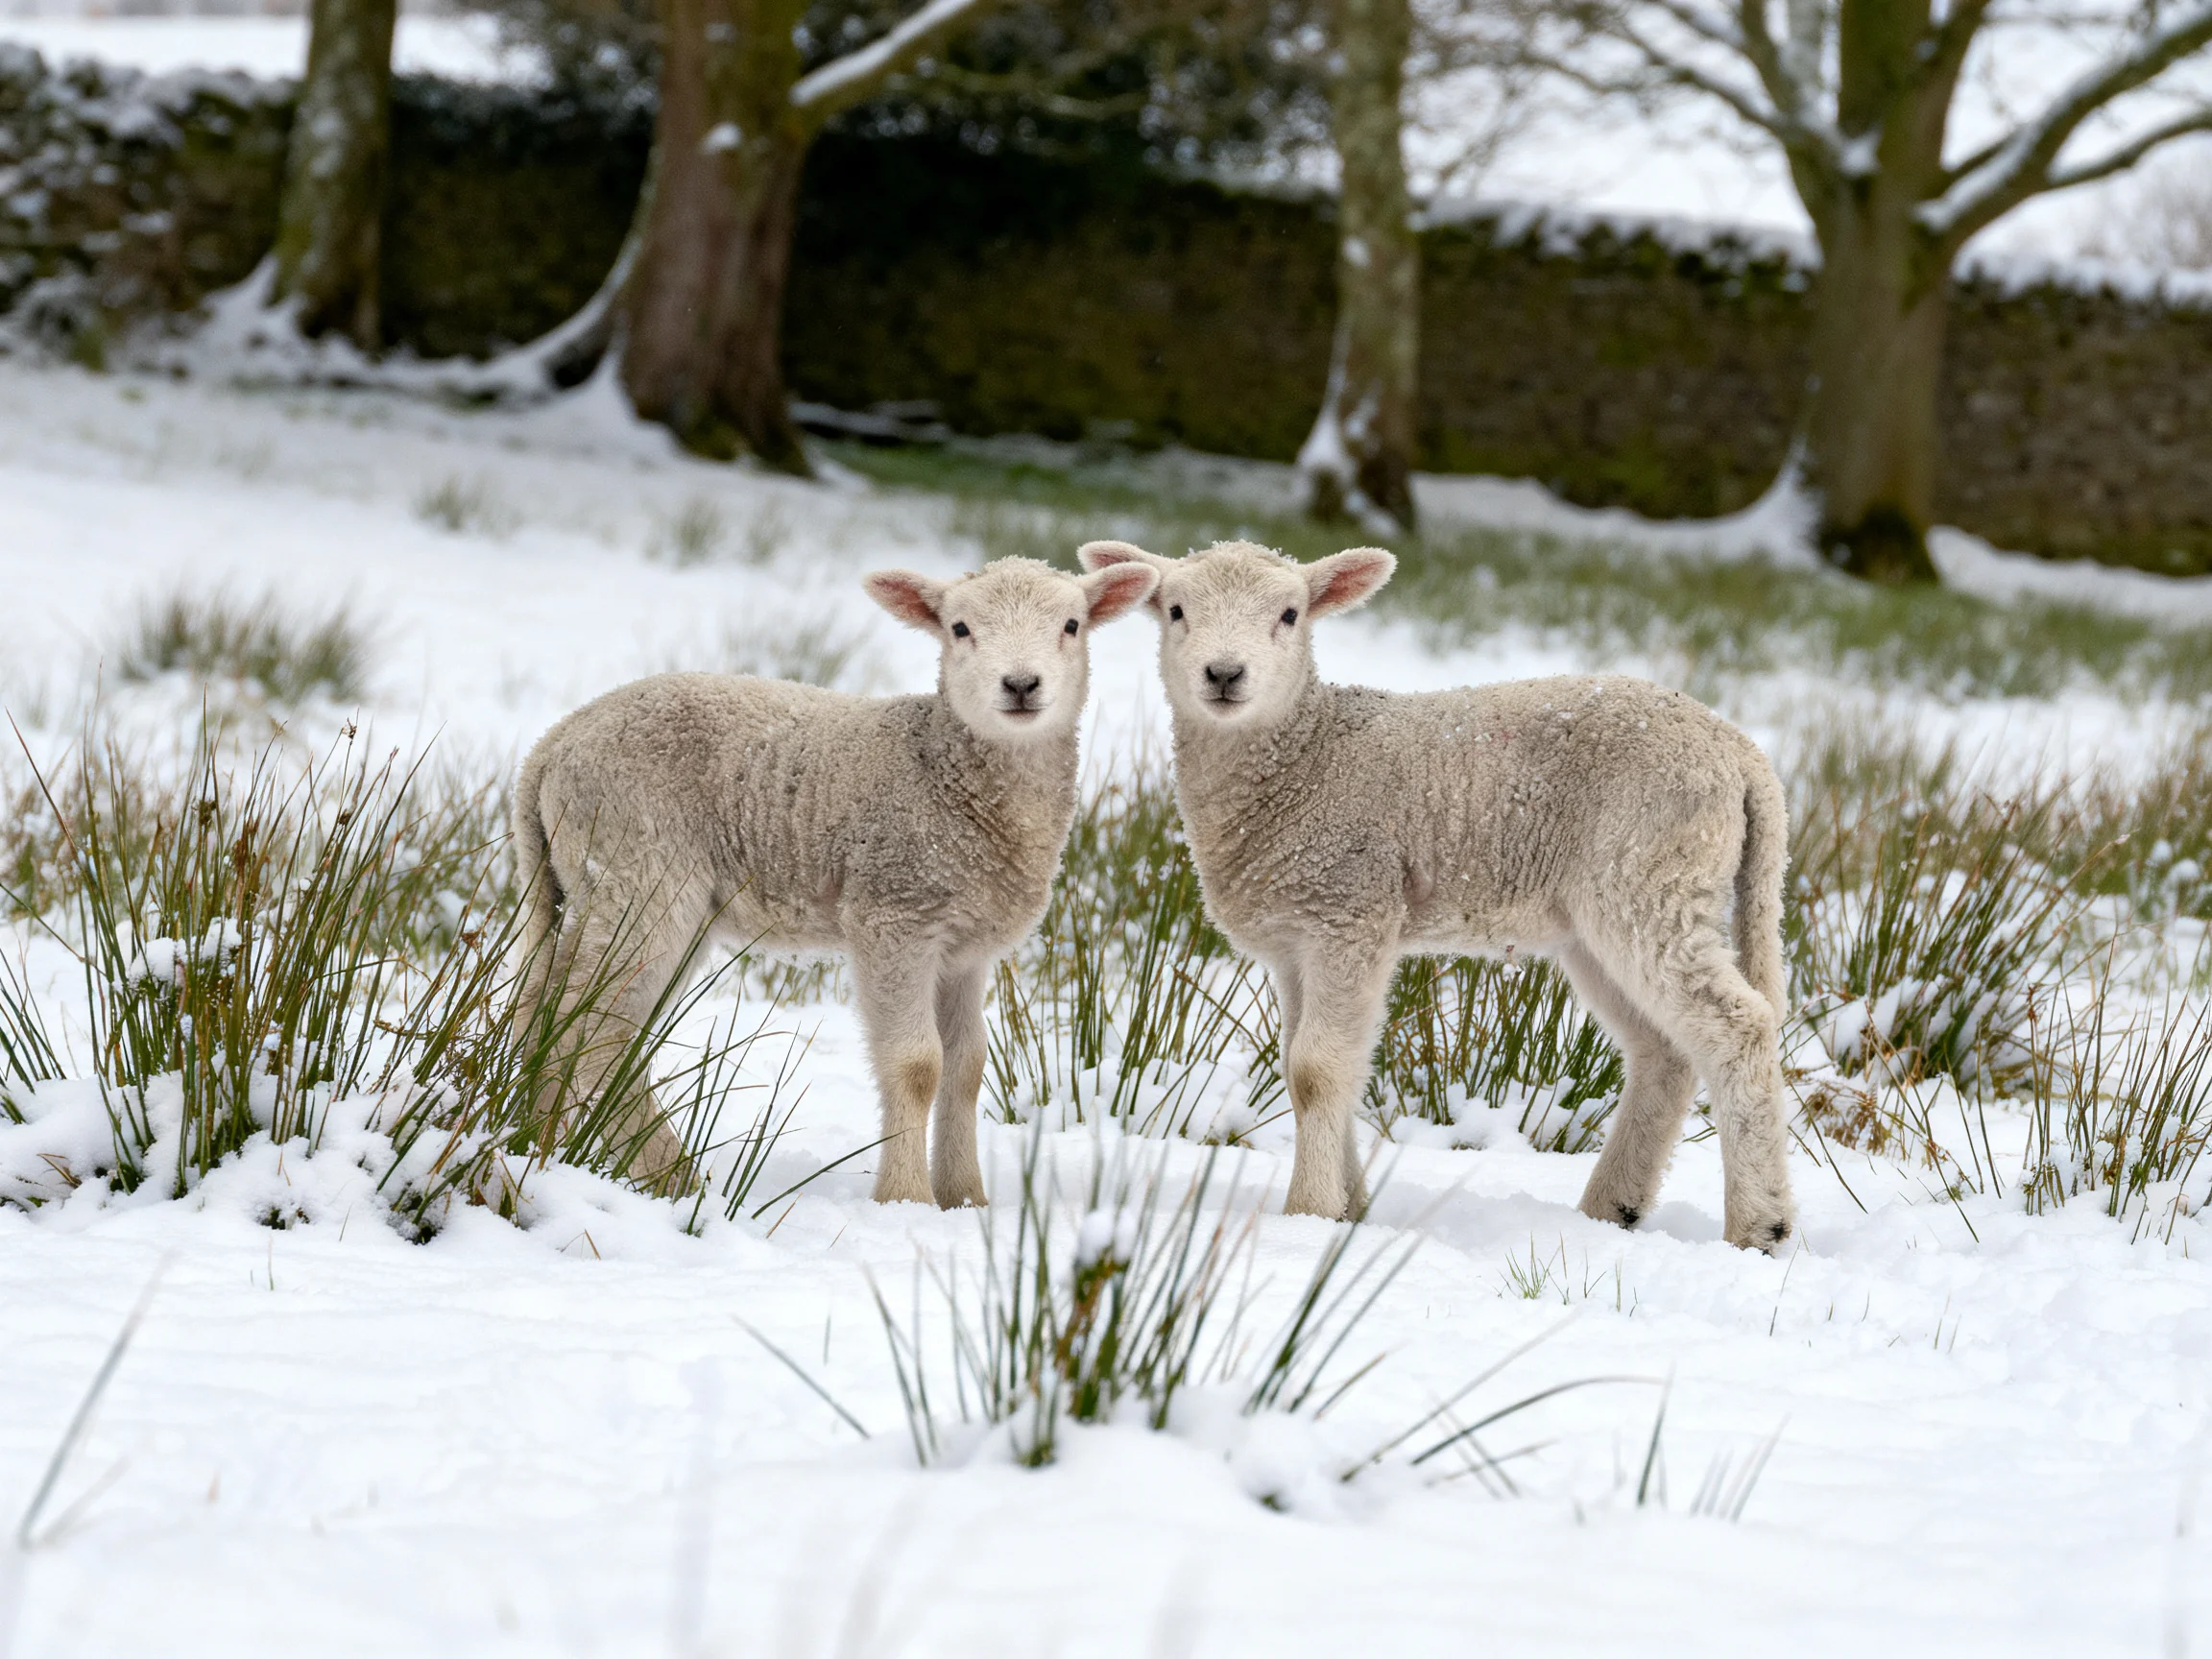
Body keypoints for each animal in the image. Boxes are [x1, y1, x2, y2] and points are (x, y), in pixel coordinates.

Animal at [510, 555, 1160, 1205]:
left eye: (1073, 625)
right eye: (960, 628)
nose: (1021, 685)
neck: (943, 768)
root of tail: (549, 747)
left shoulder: (966, 946)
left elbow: (967, 1065)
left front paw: (965, 1200)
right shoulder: (892, 914)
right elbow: (917, 1064)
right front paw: (906, 1198)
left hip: (626, 892)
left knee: (572, 1017)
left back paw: (580, 1151)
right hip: (638, 868)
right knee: (590, 1029)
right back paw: (642, 1171)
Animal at [1078, 538, 1795, 1252]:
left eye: (1289, 614)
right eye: (1175, 610)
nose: (1224, 674)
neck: (1306, 756)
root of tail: (1742, 752)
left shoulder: (1350, 910)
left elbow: (1315, 1071)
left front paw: (1308, 1213)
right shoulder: (1298, 940)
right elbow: (1316, 1064)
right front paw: (1349, 1206)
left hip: (1651, 877)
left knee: (1739, 1028)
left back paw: (1760, 1227)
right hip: (1599, 919)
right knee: (1663, 1052)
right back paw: (1612, 1209)